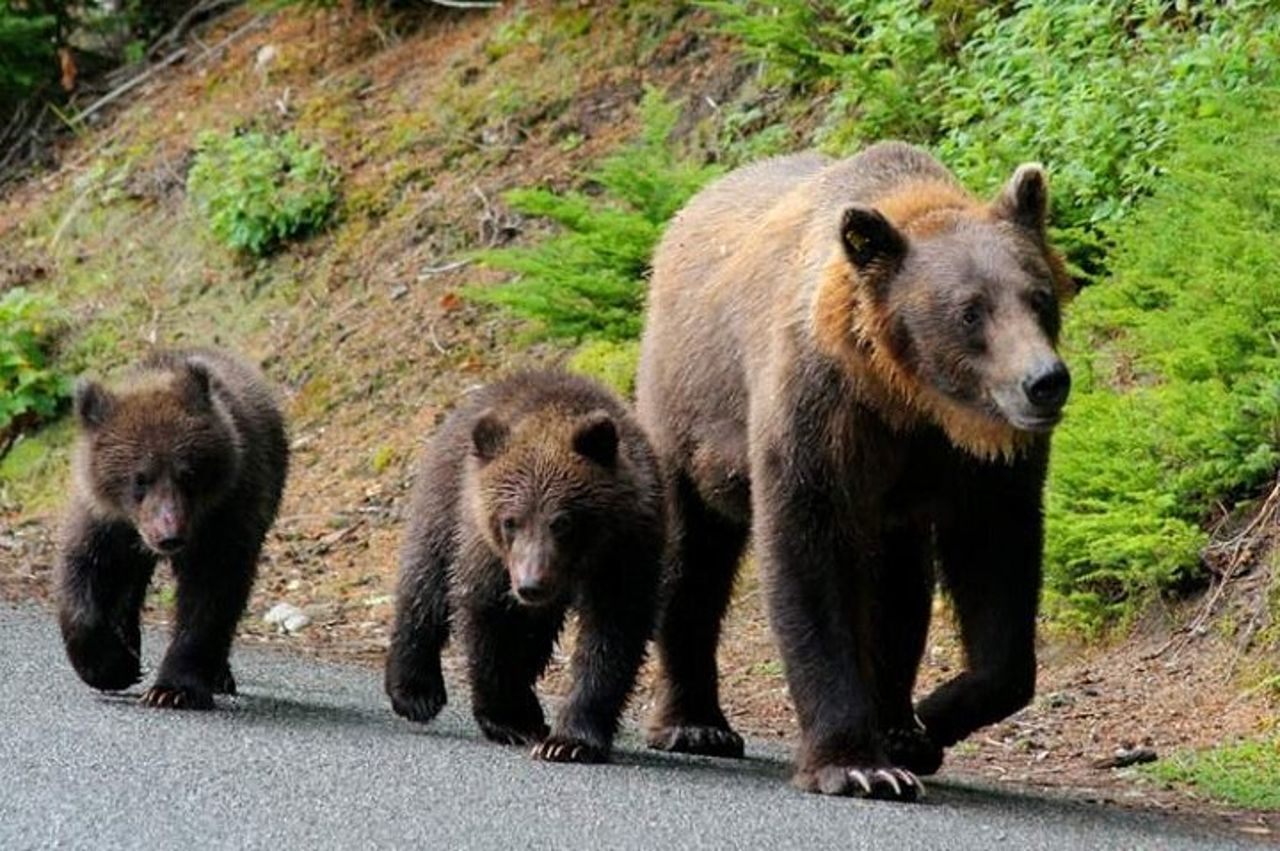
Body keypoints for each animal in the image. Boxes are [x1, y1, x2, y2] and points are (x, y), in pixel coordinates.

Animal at [57, 347, 288, 710]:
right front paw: (113, 666)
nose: (169, 535)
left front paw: (173, 689)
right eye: (140, 478)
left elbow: (210, 596)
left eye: (188, 473)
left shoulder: (225, 517)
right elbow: (84, 573)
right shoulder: (103, 521)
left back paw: (219, 675)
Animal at [384, 370, 665, 763]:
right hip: (444, 504)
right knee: (425, 583)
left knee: (535, 637)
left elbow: (611, 637)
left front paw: (569, 740)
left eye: (562, 522)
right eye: (510, 521)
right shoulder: (488, 555)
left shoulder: (625, 552)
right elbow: (488, 619)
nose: (531, 585)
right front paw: (509, 719)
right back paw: (415, 691)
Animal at [635, 142, 1073, 800]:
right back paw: (695, 723)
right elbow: (809, 558)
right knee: (689, 558)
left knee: (900, 589)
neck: (907, 397)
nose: (1044, 381)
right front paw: (858, 764)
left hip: (892, 515)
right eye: (970, 312)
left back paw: (896, 720)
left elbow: (998, 573)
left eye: (1039, 295)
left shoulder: (976, 463)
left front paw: (924, 723)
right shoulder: (821, 413)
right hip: (688, 413)